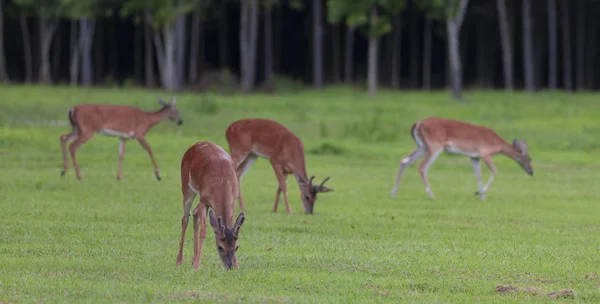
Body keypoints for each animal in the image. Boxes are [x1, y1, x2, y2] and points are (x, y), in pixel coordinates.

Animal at [177, 141, 245, 270]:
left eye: (237, 247)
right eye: (220, 247)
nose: (229, 267)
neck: (222, 183)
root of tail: (195, 144)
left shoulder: (233, 200)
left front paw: (237, 265)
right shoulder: (204, 199)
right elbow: (203, 231)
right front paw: (197, 266)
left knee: (195, 213)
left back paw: (193, 259)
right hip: (186, 187)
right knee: (185, 219)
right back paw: (179, 260)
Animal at [390, 116, 536, 200]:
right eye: (529, 158)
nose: (531, 172)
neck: (497, 145)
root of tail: (417, 124)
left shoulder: (474, 157)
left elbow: (478, 175)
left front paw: (481, 196)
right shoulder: (485, 153)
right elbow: (495, 171)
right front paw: (480, 193)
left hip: (422, 146)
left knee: (404, 161)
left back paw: (393, 192)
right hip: (434, 145)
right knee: (422, 167)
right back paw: (431, 195)